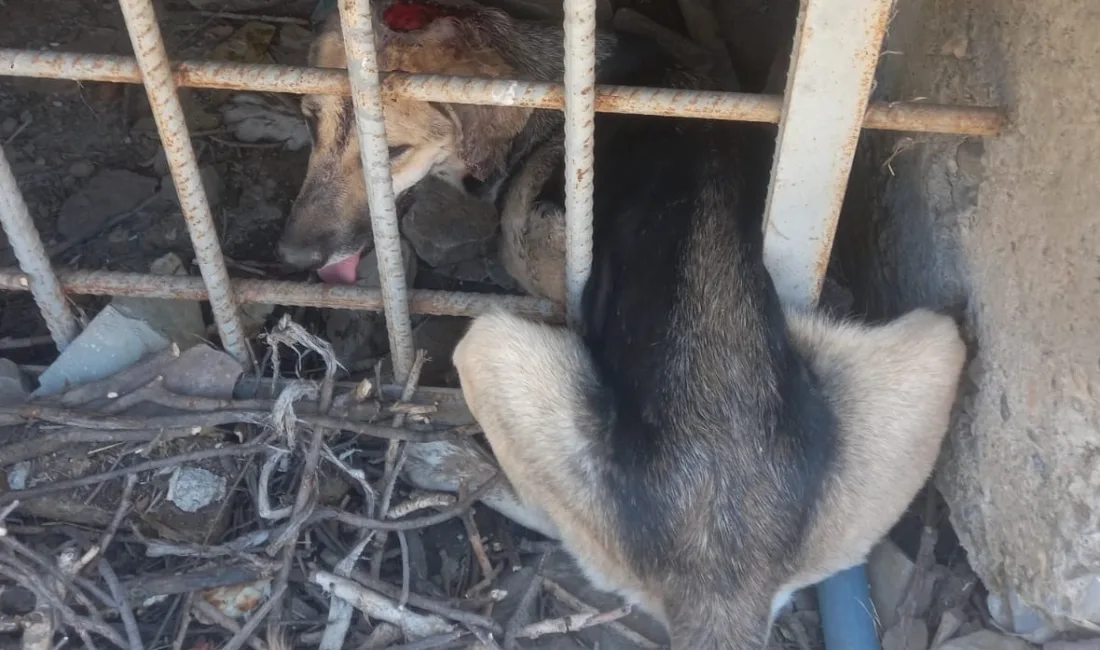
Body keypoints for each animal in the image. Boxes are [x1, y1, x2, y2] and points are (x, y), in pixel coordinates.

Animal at [281, 3, 963, 646]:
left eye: (392, 152)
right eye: (310, 122)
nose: (294, 258)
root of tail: (722, 581)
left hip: (490, 345)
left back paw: (452, 464)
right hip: (939, 343)